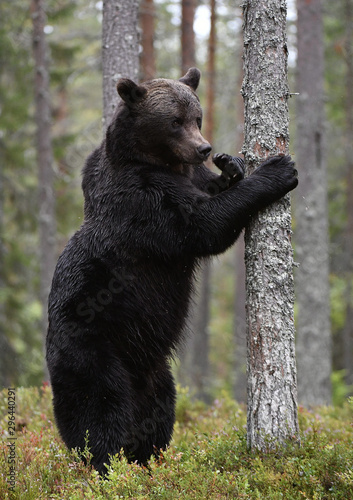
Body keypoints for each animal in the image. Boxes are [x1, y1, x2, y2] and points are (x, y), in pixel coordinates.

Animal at [45, 67, 296, 476]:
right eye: (174, 121)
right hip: (91, 349)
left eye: (197, 117)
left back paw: (147, 462)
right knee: (100, 413)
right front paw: (277, 170)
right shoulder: (143, 201)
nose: (204, 148)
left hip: (155, 370)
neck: (160, 163)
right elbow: (203, 224)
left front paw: (231, 165)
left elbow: (210, 193)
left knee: (158, 412)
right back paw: (106, 468)